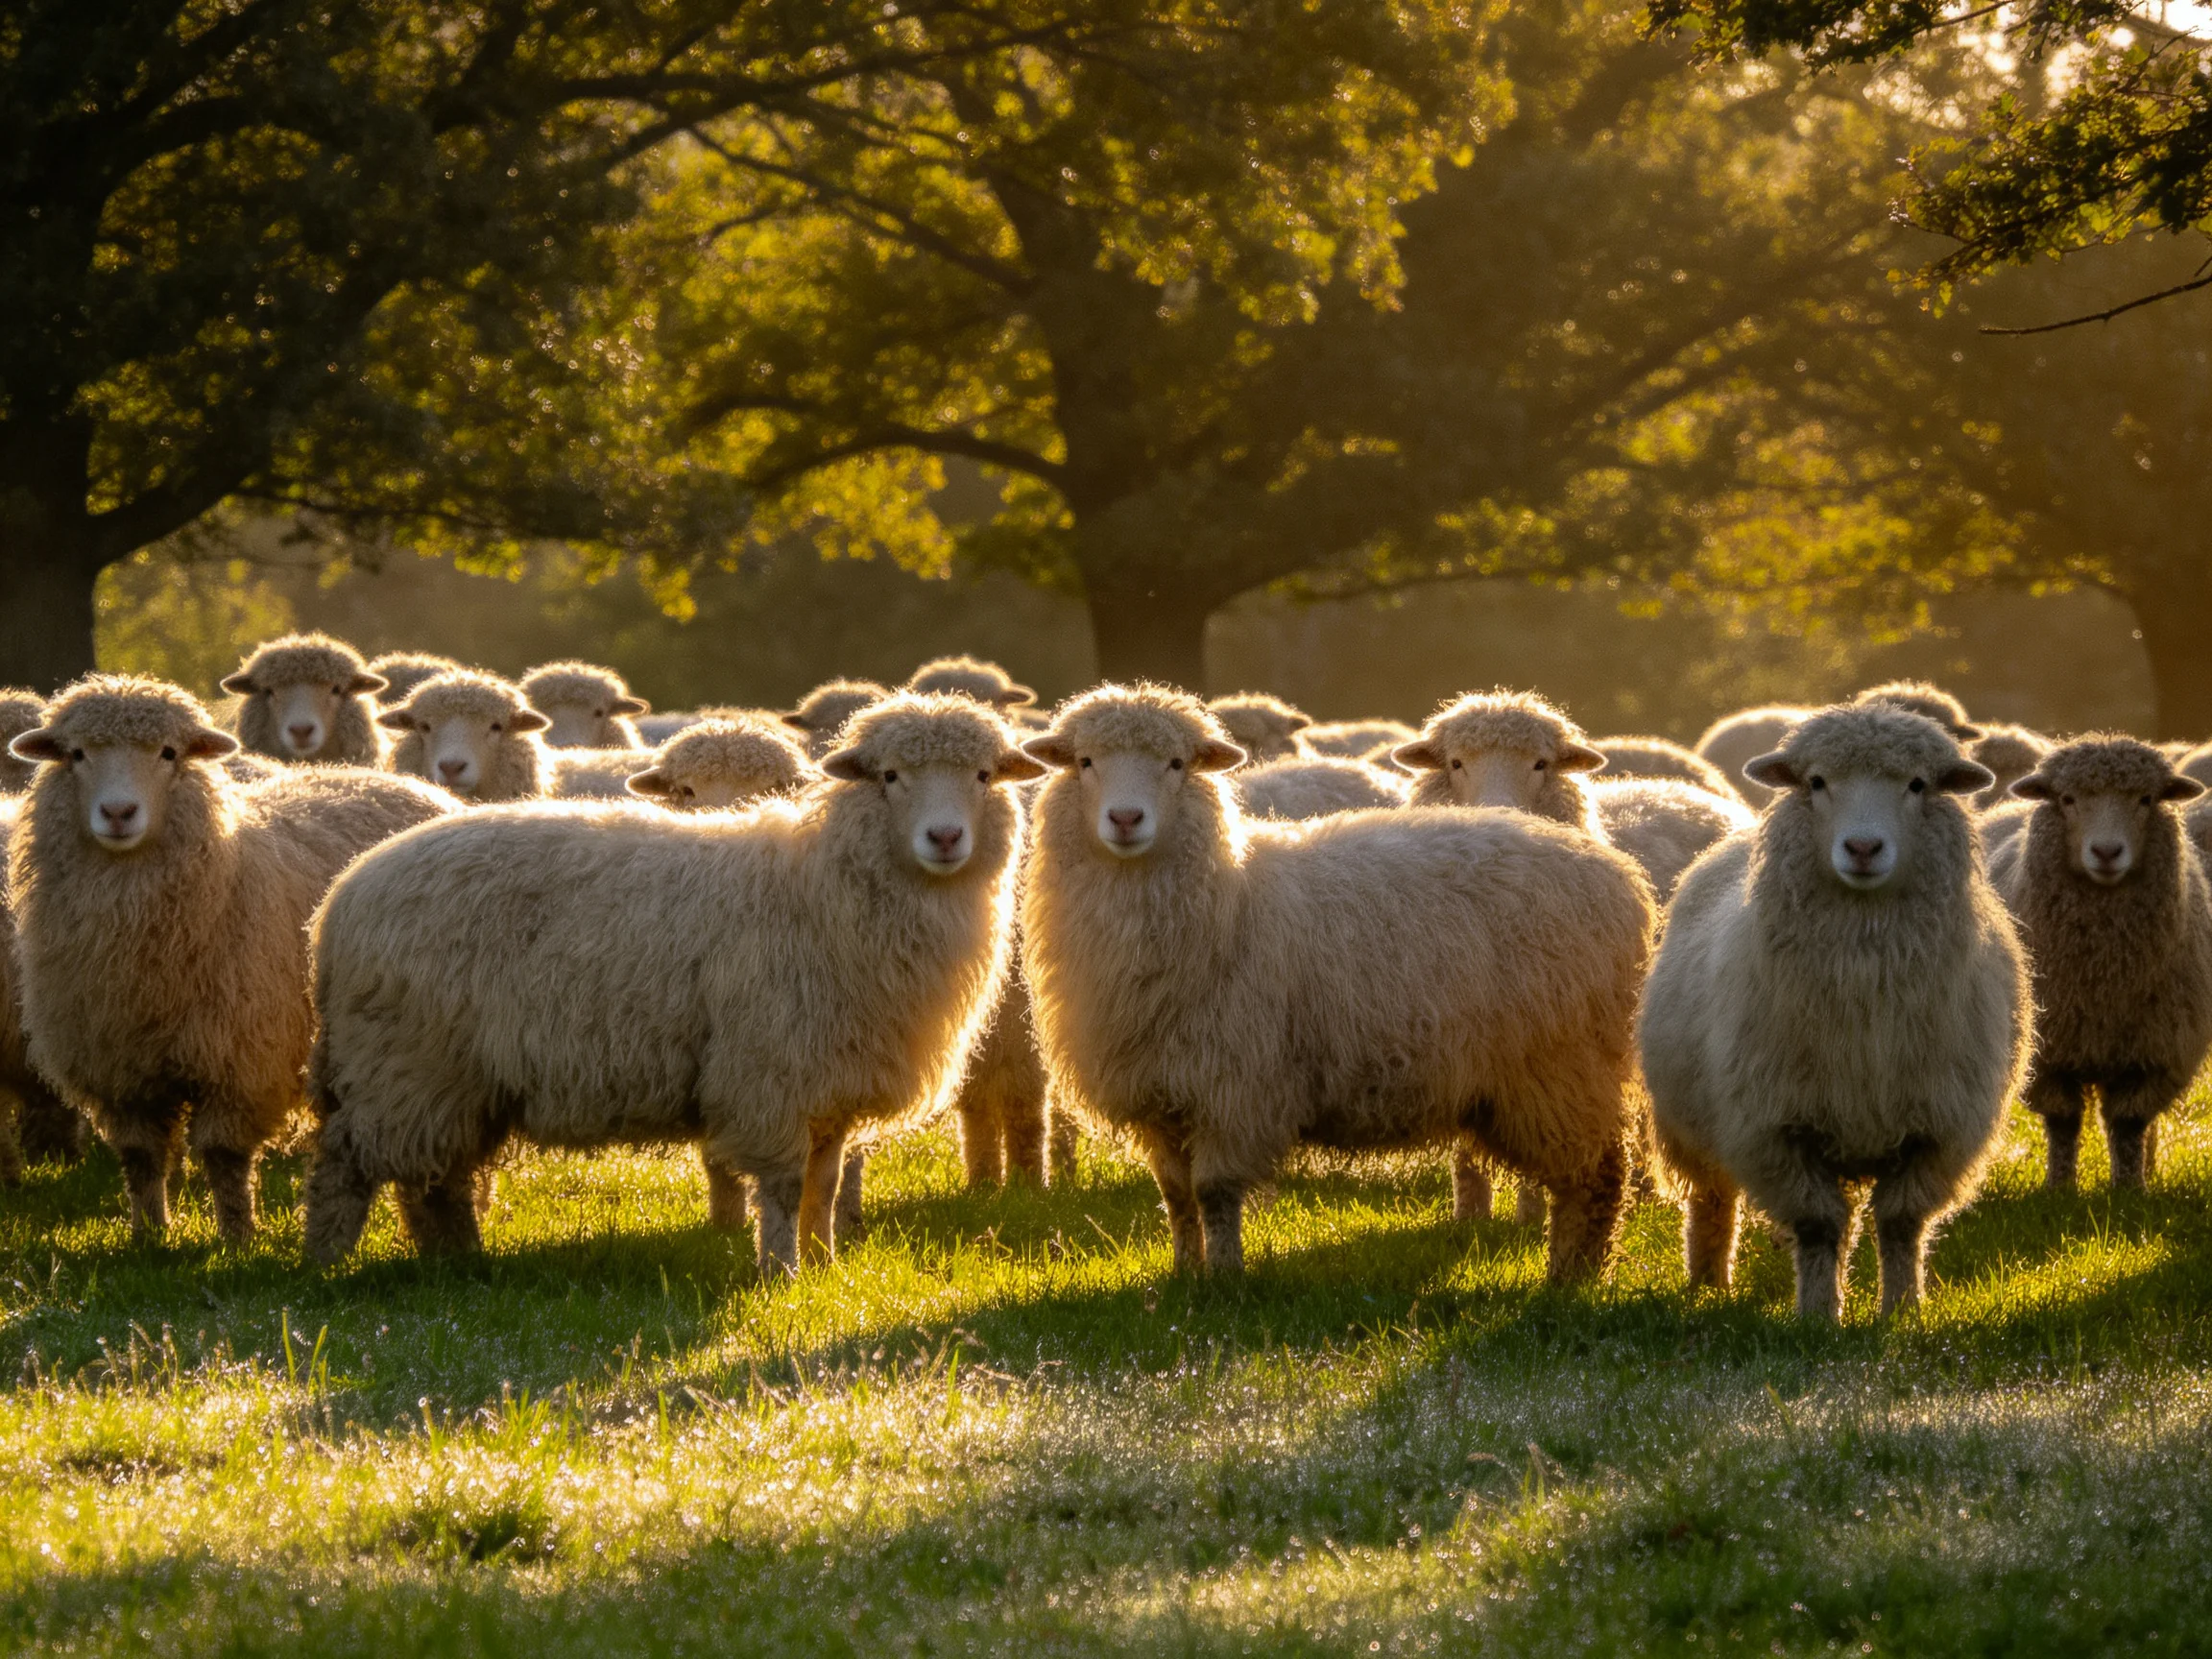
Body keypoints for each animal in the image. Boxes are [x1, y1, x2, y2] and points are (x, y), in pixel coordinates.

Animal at [8, 676, 455, 1239]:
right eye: (76, 755)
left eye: (169, 753)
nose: (118, 814)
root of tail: (407, 784)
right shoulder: (118, 1068)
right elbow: (141, 1158)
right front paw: (149, 1234)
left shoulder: (240, 1059)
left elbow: (223, 1156)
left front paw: (237, 1236)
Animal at [301, 694, 1042, 1274]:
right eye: (890, 776)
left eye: (983, 775)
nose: (944, 838)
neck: (828, 883)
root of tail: (341, 899)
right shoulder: (770, 1070)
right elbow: (782, 1187)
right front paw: (780, 1273)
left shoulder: (829, 1079)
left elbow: (825, 1185)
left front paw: (825, 1263)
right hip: (405, 1059)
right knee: (347, 1165)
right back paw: (326, 1267)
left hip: (446, 1076)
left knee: (435, 1180)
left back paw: (457, 1264)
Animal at [1984, 738, 2212, 1191]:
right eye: (2067, 799)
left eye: (2145, 800)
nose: (2107, 852)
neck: (2102, 978)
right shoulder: (2047, 1054)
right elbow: (2064, 1121)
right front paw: (2060, 1188)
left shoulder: (2157, 1053)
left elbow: (2128, 1124)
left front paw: (2129, 1188)